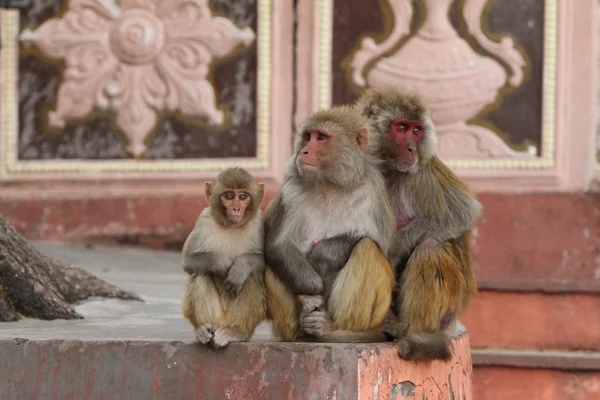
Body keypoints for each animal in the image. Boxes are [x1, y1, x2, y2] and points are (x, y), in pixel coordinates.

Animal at [180, 167, 268, 348]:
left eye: (243, 197)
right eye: (228, 196)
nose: (236, 208)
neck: (231, 226)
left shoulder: (258, 223)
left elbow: (266, 261)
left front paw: (240, 267)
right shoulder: (204, 219)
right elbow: (188, 261)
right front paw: (221, 264)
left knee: (251, 277)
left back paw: (236, 332)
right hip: (217, 316)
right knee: (200, 273)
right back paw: (203, 329)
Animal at [264, 105, 398, 344]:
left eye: (321, 137)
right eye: (308, 136)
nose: (304, 151)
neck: (331, 185)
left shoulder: (373, 193)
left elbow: (383, 248)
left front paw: (320, 255)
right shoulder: (291, 192)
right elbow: (278, 245)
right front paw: (312, 289)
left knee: (366, 248)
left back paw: (336, 331)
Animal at [356, 87, 482, 362]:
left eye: (416, 130)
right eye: (401, 127)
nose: (412, 148)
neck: (386, 169)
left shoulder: (420, 173)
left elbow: (460, 213)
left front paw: (392, 252)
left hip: (450, 310)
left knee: (431, 245)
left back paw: (413, 335)